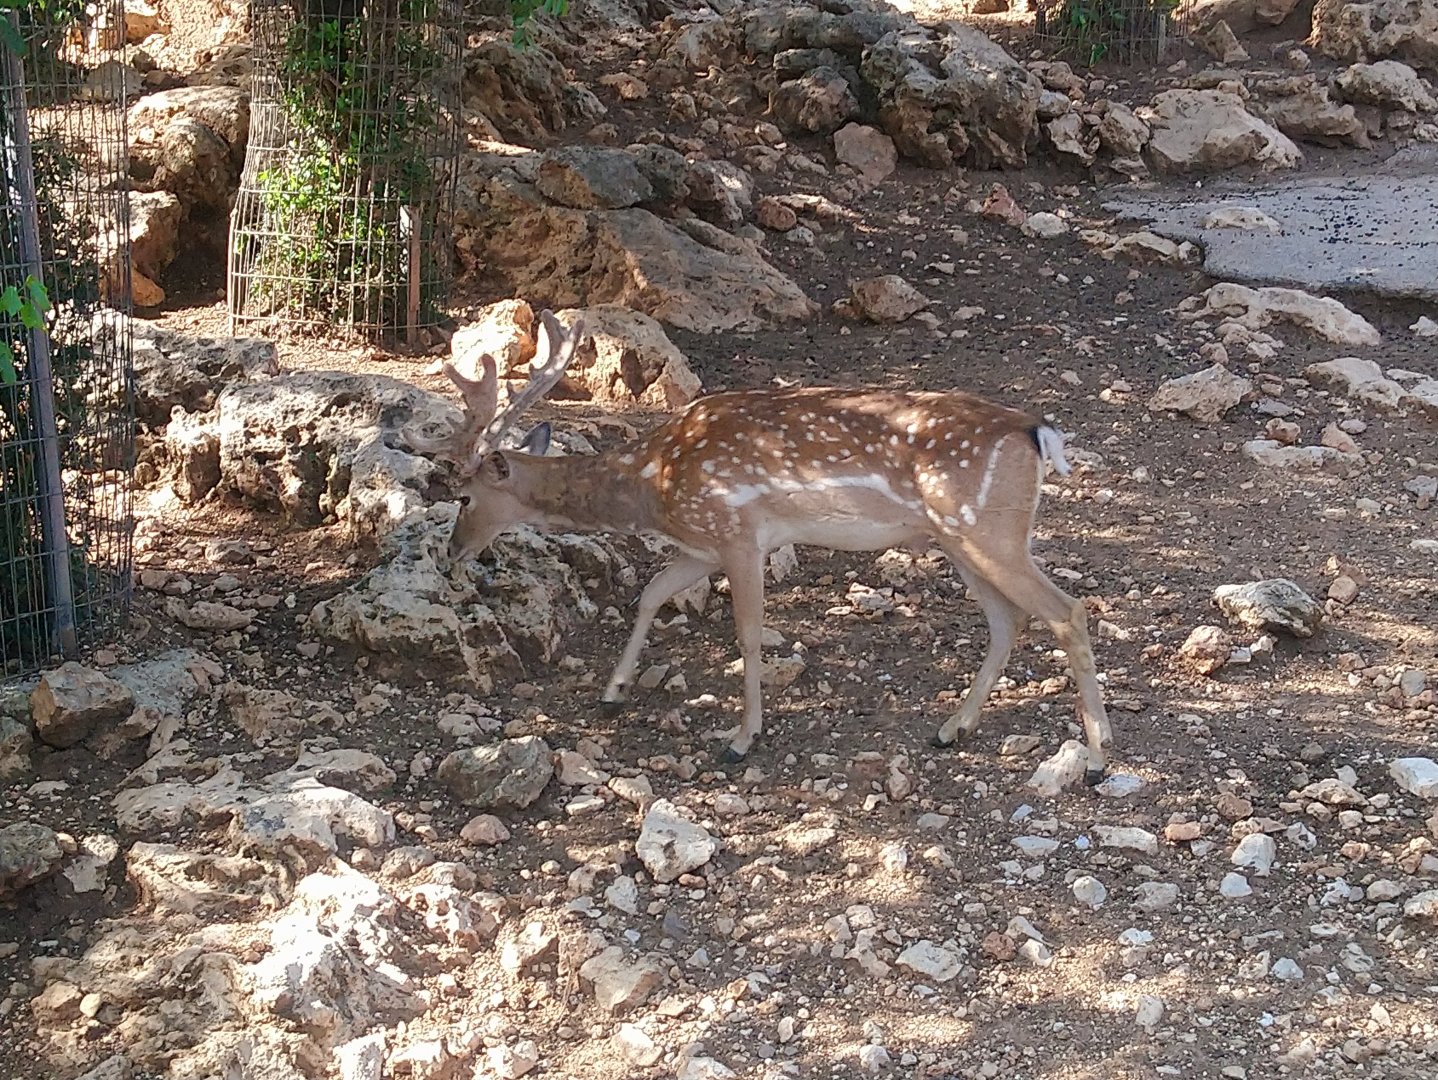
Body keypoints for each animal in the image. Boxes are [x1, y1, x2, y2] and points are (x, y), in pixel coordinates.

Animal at [406, 310, 1114, 783]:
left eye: (462, 495)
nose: (452, 553)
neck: (652, 483)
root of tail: (1039, 432)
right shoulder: (699, 545)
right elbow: (649, 594)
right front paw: (613, 691)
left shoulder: (736, 532)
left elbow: (746, 632)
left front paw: (741, 738)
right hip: (963, 540)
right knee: (1007, 619)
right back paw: (951, 729)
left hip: (987, 530)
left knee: (1067, 611)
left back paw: (1098, 759)